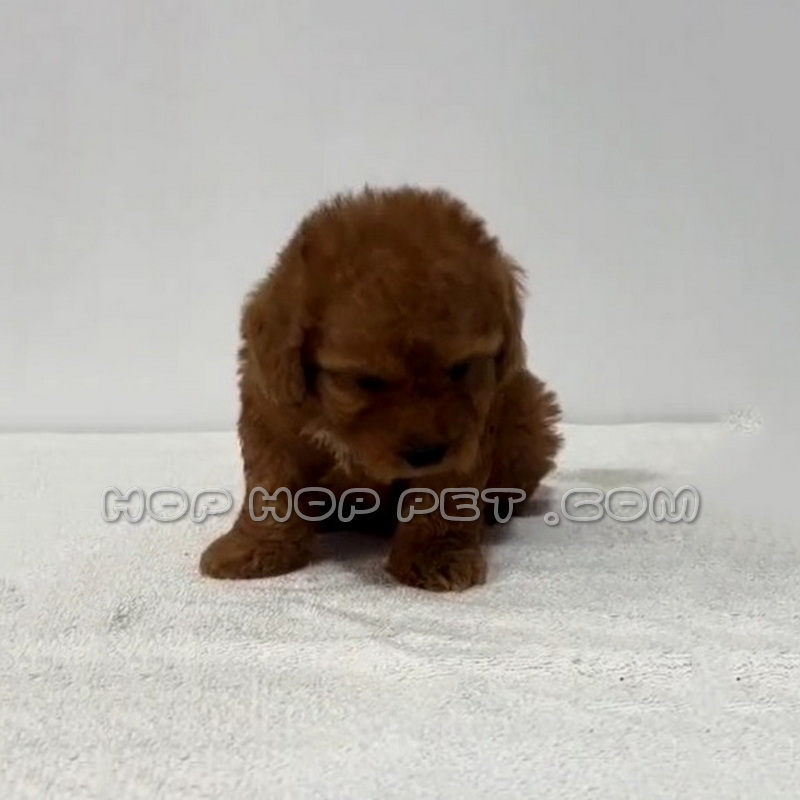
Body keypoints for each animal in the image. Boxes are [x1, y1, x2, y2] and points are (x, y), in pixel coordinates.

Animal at [200, 186, 562, 591]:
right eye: (367, 381)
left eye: (460, 369)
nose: (426, 453)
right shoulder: (270, 416)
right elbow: (271, 489)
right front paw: (255, 548)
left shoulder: (472, 430)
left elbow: (444, 495)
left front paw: (437, 554)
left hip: (531, 414)